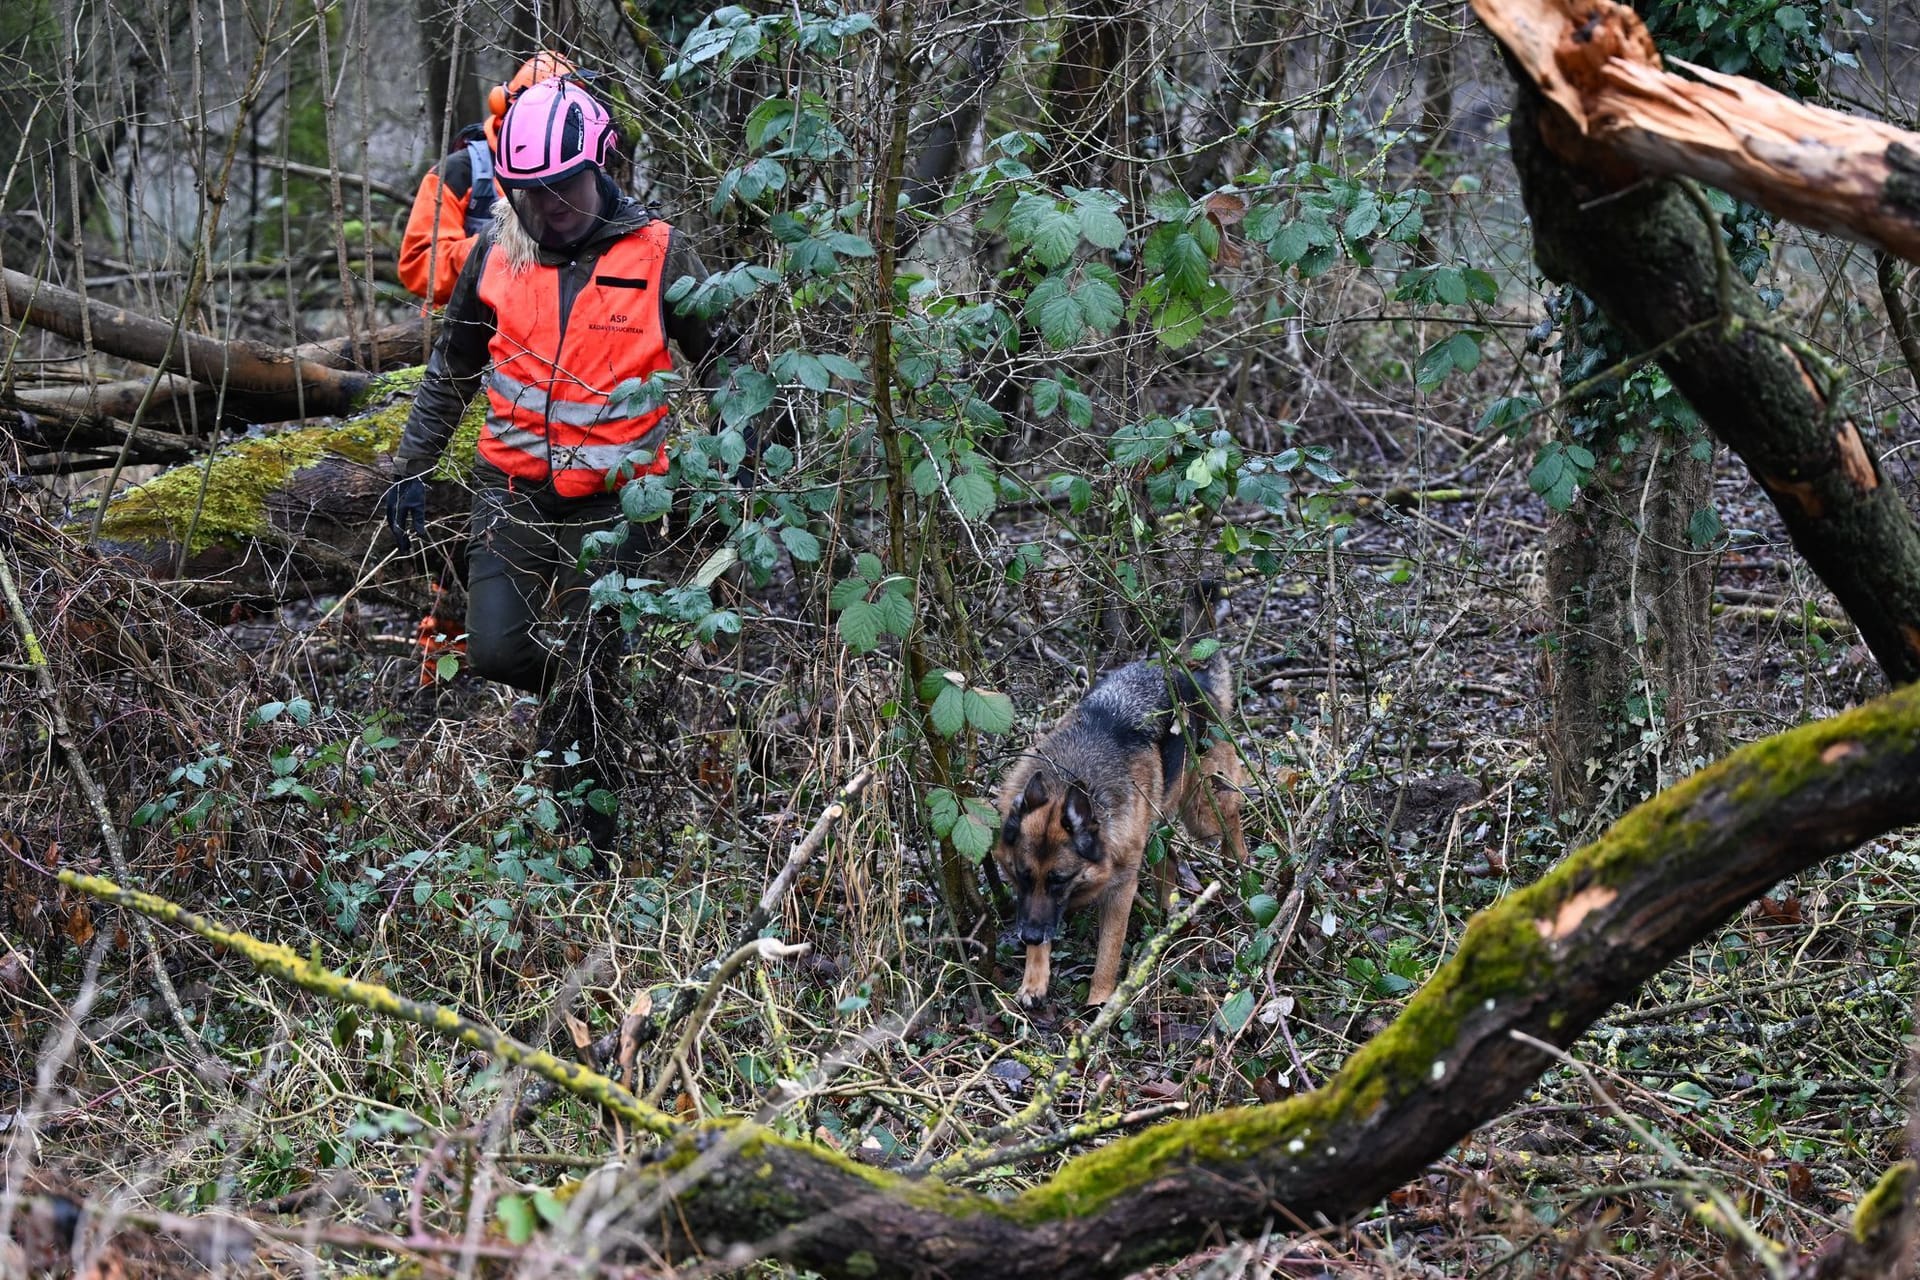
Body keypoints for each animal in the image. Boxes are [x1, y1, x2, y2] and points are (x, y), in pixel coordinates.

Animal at [990, 656, 1244, 1005]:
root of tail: (1195, 678)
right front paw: (1034, 980)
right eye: (1023, 875)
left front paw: (1099, 1002)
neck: (1068, 778)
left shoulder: (1119, 890)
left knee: (1233, 822)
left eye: (1060, 880)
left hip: (1203, 813)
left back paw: (1241, 875)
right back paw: (1169, 912)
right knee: (1169, 860)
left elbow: (1108, 953)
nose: (1028, 936)